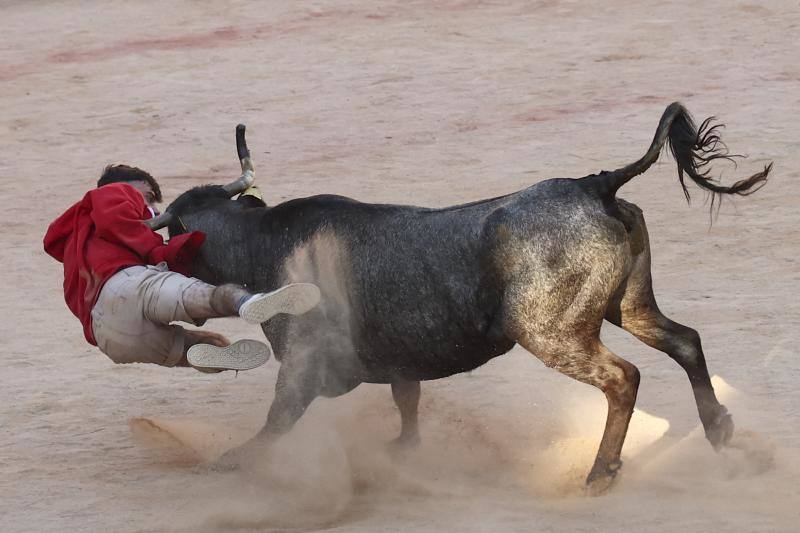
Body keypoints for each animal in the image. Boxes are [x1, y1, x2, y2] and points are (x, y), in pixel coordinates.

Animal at [148, 104, 768, 490]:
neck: (260, 239)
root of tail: (595, 184)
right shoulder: (397, 362)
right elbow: (408, 404)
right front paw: (404, 453)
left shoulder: (304, 367)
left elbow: (277, 422)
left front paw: (231, 462)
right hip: (629, 306)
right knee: (684, 342)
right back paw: (719, 431)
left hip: (549, 331)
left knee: (623, 377)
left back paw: (601, 473)